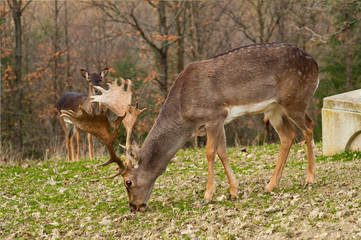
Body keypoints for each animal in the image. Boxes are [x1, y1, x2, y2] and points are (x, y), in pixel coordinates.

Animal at [62, 42, 318, 212]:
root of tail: (315, 64)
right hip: (274, 109)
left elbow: (210, 153)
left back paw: (309, 179)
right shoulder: (220, 120)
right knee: (288, 136)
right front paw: (234, 191)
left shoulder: (214, 114)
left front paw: (208, 195)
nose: (134, 207)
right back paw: (270, 185)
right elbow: (223, 152)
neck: (185, 114)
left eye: (128, 182)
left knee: (309, 127)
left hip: (295, 100)